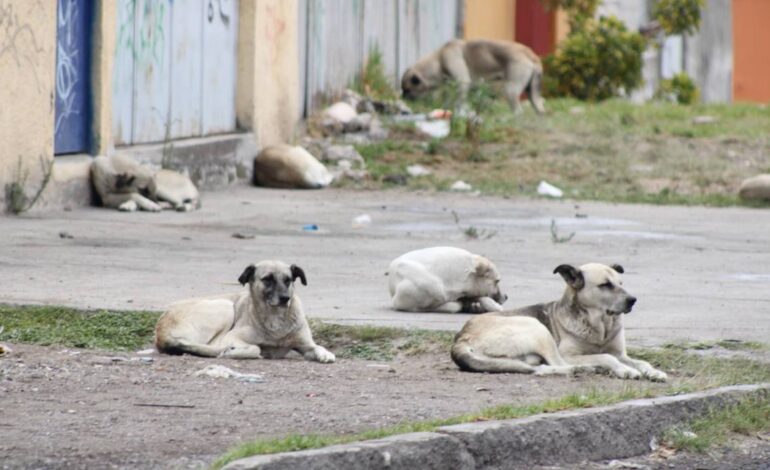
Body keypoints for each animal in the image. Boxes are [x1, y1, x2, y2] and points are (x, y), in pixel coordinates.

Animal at [154, 260, 334, 364]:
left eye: (288, 280)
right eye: (267, 279)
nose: (285, 298)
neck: (275, 318)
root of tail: (160, 332)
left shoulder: (306, 345)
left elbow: (318, 347)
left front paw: (326, 354)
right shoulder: (232, 337)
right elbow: (256, 348)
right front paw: (233, 352)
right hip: (224, 306)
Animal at [452, 262, 664, 380]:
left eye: (621, 283)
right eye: (605, 285)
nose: (633, 300)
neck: (600, 326)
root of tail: (461, 337)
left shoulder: (620, 353)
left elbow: (641, 362)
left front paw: (653, 372)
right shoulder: (570, 354)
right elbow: (606, 357)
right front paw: (625, 371)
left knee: (543, 368)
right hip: (537, 328)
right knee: (559, 364)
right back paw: (587, 368)